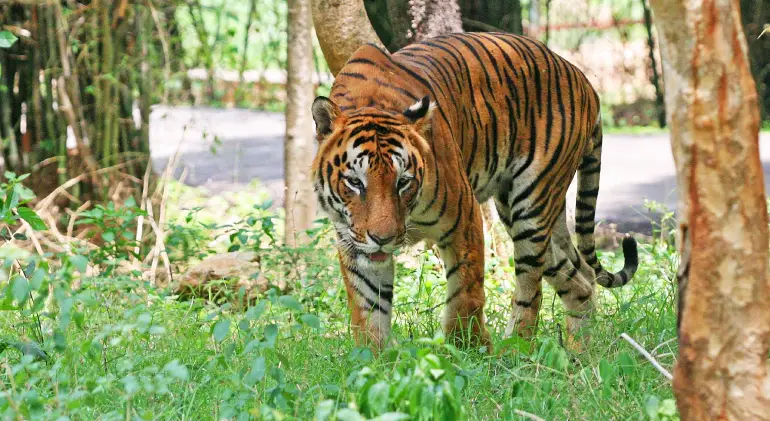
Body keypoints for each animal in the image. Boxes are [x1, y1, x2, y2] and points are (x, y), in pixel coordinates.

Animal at [308, 31, 640, 350]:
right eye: (355, 182)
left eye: (403, 182)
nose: (383, 239)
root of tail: (584, 79)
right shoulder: (353, 241)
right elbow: (369, 310)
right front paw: (375, 359)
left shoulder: (463, 218)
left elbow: (465, 294)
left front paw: (467, 350)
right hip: (531, 214)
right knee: (582, 278)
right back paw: (579, 351)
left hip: (531, 205)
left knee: (531, 288)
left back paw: (515, 350)